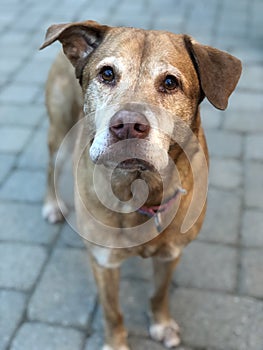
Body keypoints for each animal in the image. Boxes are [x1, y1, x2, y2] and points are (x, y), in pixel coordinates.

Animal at [39, 20, 243, 348]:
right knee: (50, 168)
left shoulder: (172, 254)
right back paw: (51, 206)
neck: (140, 188)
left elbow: (159, 293)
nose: (127, 126)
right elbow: (113, 312)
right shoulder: (103, 260)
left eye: (170, 82)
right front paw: (116, 342)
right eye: (107, 74)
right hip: (59, 130)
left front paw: (161, 323)